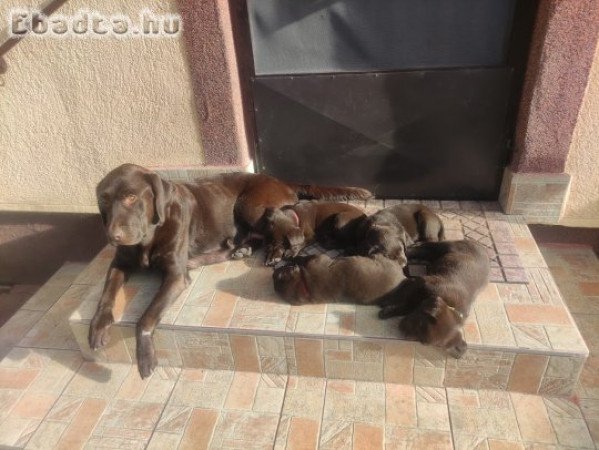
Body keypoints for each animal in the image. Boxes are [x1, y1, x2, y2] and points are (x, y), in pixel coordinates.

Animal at [90, 163, 370, 378]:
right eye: (103, 200)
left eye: (131, 197)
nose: (112, 236)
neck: (149, 237)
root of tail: (278, 179)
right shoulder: (119, 264)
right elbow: (106, 293)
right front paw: (98, 326)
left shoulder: (176, 276)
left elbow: (146, 316)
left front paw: (145, 357)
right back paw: (240, 250)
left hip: (249, 206)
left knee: (285, 230)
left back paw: (275, 251)